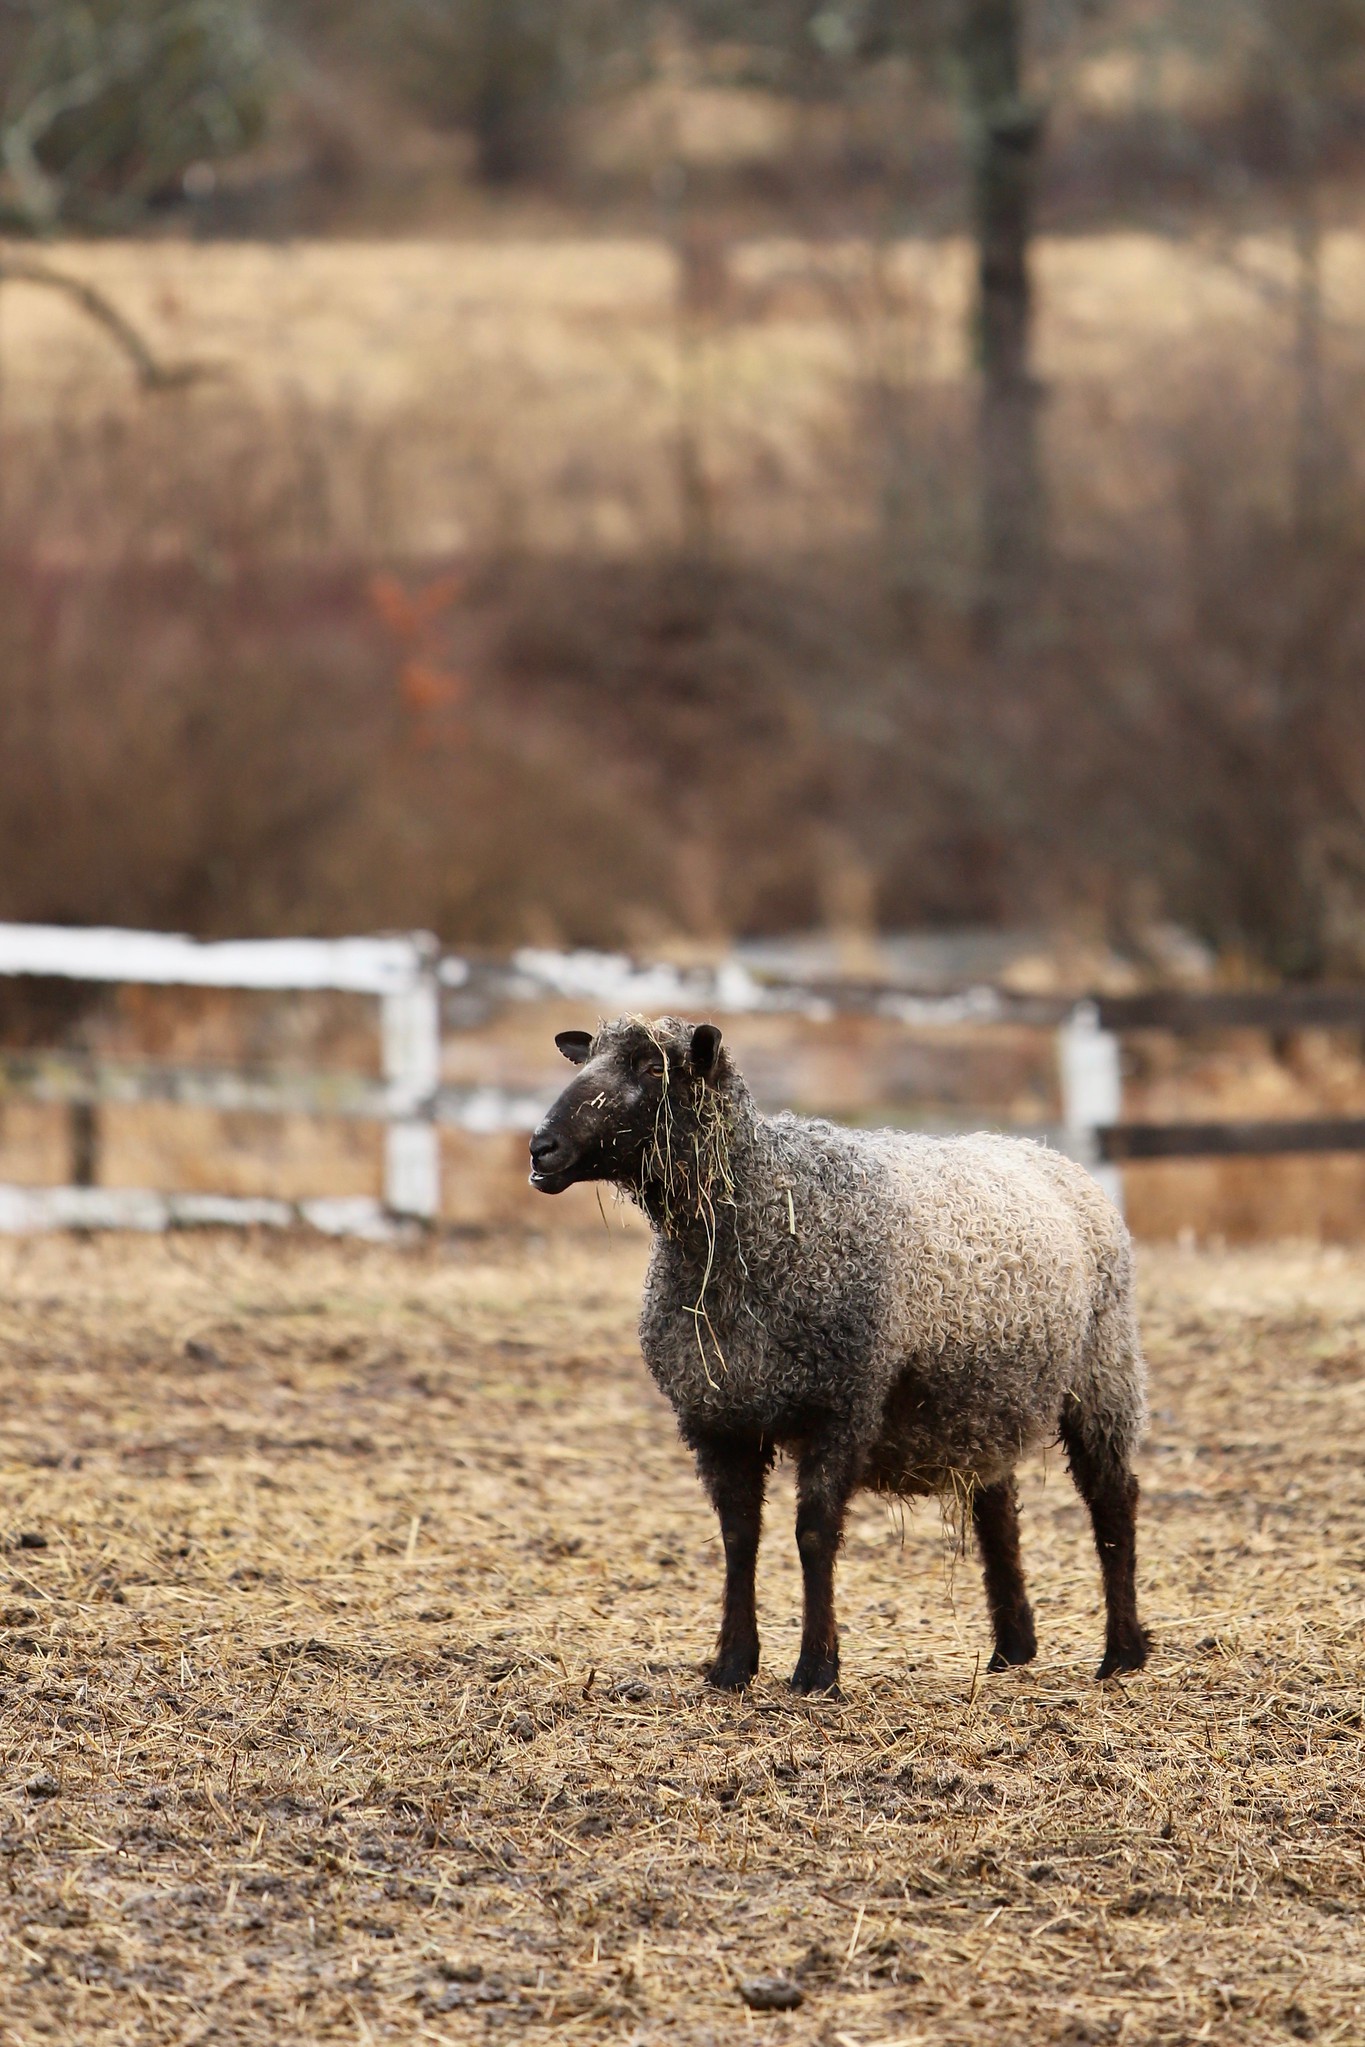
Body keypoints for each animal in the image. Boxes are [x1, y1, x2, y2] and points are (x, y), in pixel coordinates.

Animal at [527, 1011, 1146, 1694]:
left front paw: (816, 1670)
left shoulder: (843, 1403)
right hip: (983, 1396)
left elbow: (815, 1534)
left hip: (1104, 1369)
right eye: (587, 1060)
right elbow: (738, 1537)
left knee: (1112, 1500)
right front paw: (732, 1666)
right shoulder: (717, 1417)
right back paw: (1013, 1649)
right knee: (997, 1509)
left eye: (651, 1067)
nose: (540, 1150)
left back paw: (1122, 1655)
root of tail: (1046, 1153)